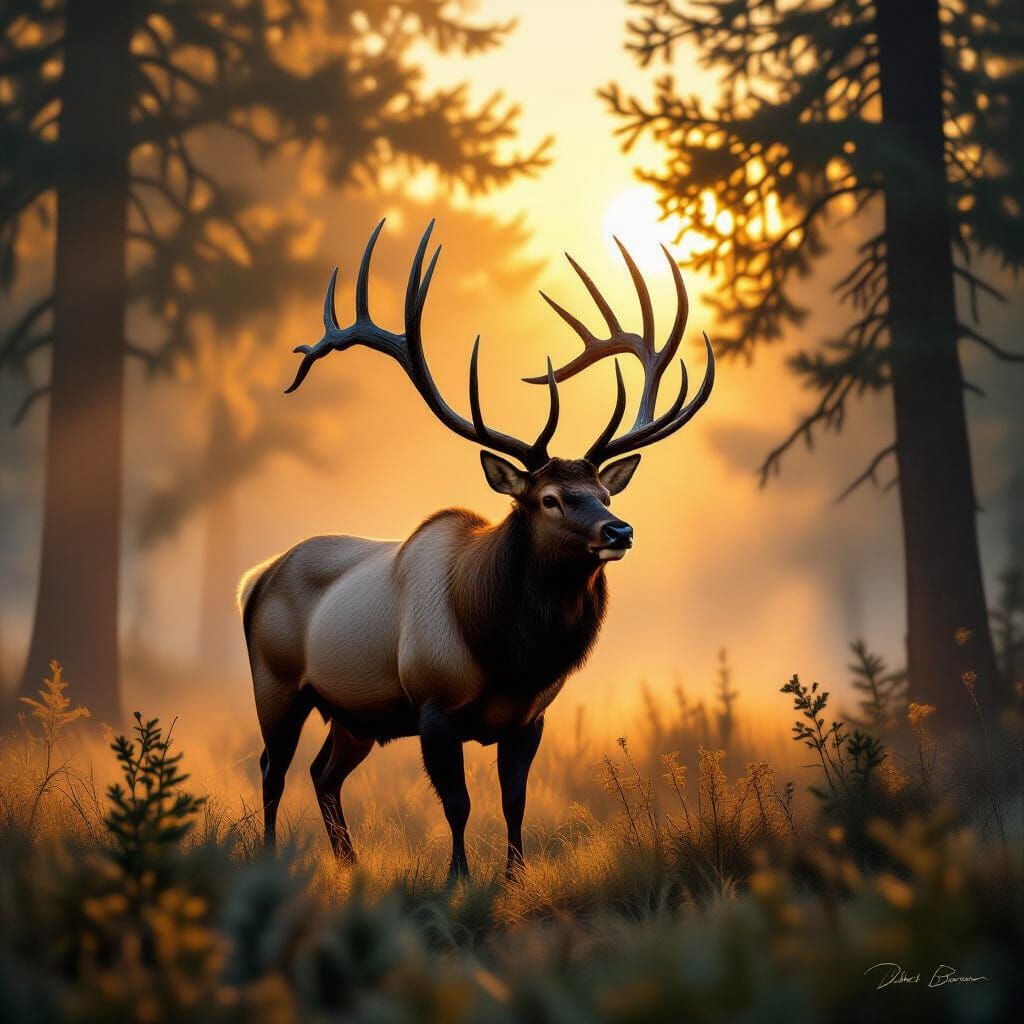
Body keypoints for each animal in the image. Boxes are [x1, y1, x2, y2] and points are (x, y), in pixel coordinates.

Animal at [239, 218, 714, 882]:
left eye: (601, 493)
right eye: (549, 499)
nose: (619, 532)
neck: (509, 653)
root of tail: (255, 578)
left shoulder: (530, 718)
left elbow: (514, 803)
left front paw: (515, 877)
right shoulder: (434, 707)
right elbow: (459, 805)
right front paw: (459, 879)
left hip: (355, 714)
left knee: (322, 773)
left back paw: (350, 865)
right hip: (276, 683)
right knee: (272, 769)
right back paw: (269, 859)